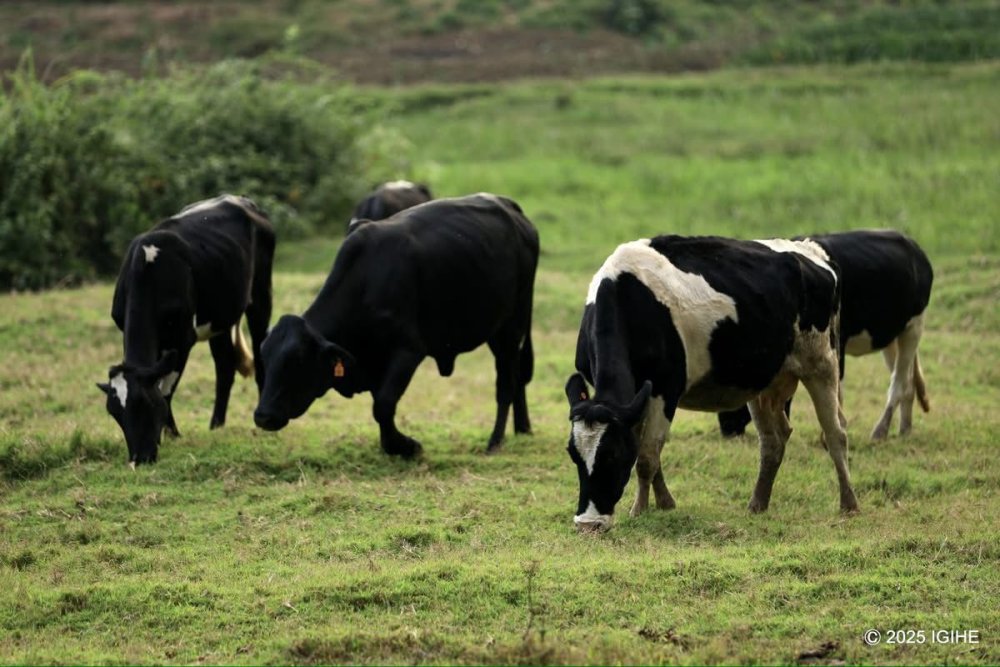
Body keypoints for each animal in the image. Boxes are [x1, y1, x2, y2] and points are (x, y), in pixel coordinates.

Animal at [97, 195, 275, 466]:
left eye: (146, 405)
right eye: (116, 414)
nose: (140, 458)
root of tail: (240, 199)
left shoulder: (182, 339)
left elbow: (166, 389)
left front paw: (172, 435)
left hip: (260, 296)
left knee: (259, 351)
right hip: (220, 318)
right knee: (224, 367)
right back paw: (216, 426)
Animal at [254, 193, 538, 458]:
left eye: (297, 361)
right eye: (265, 359)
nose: (262, 415)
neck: (366, 282)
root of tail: (508, 206)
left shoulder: (408, 351)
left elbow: (383, 404)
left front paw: (406, 446)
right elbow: (380, 404)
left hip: (510, 327)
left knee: (506, 382)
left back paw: (495, 441)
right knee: (516, 374)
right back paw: (522, 428)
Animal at [566, 235, 859, 532]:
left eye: (612, 455)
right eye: (573, 455)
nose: (588, 523)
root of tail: (812, 251)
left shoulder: (665, 390)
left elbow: (647, 456)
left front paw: (639, 510)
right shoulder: (634, 400)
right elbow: (647, 452)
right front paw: (664, 503)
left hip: (821, 364)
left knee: (835, 433)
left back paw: (849, 504)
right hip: (764, 382)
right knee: (773, 439)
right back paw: (758, 503)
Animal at [717, 230, 933, 441]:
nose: (727, 428)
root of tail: (913, 245)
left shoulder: (837, 340)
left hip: (914, 327)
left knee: (899, 383)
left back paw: (881, 431)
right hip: (891, 337)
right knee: (909, 383)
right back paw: (905, 429)